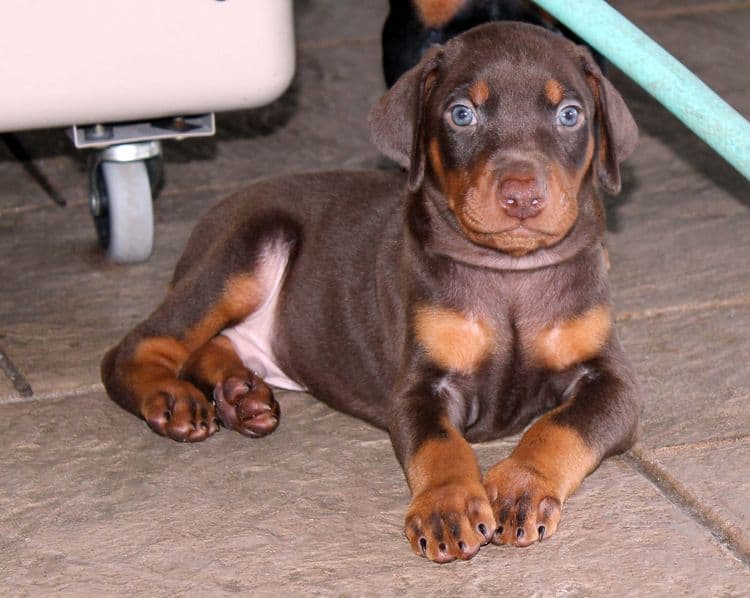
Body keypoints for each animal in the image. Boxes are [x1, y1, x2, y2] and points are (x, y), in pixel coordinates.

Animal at [101, 24, 640, 568]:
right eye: (461, 114)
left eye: (569, 114)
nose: (522, 196)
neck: (510, 272)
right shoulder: (420, 384)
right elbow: (439, 444)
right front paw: (446, 507)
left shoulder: (611, 381)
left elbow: (559, 426)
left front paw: (519, 488)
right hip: (247, 246)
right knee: (140, 345)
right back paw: (172, 397)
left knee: (212, 344)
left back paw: (239, 395)